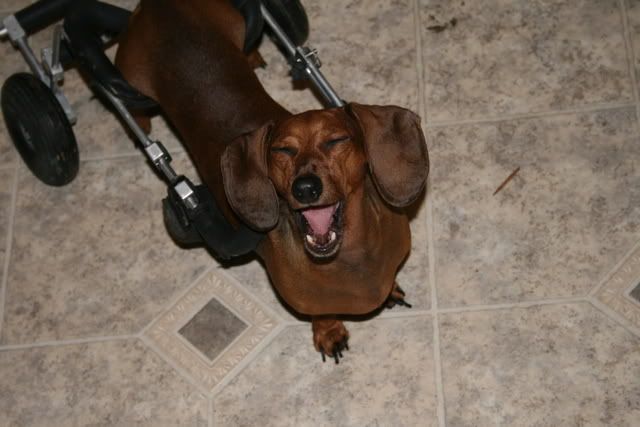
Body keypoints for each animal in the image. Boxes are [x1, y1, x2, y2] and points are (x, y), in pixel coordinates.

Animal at [115, 0, 429, 361]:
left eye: (336, 141)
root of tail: (155, 5)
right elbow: (321, 312)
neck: (350, 256)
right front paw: (329, 331)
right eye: (282, 150)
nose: (305, 188)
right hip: (129, 72)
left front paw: (390, 290)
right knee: (125, 99)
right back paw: (138, 121)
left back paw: (252, 54)